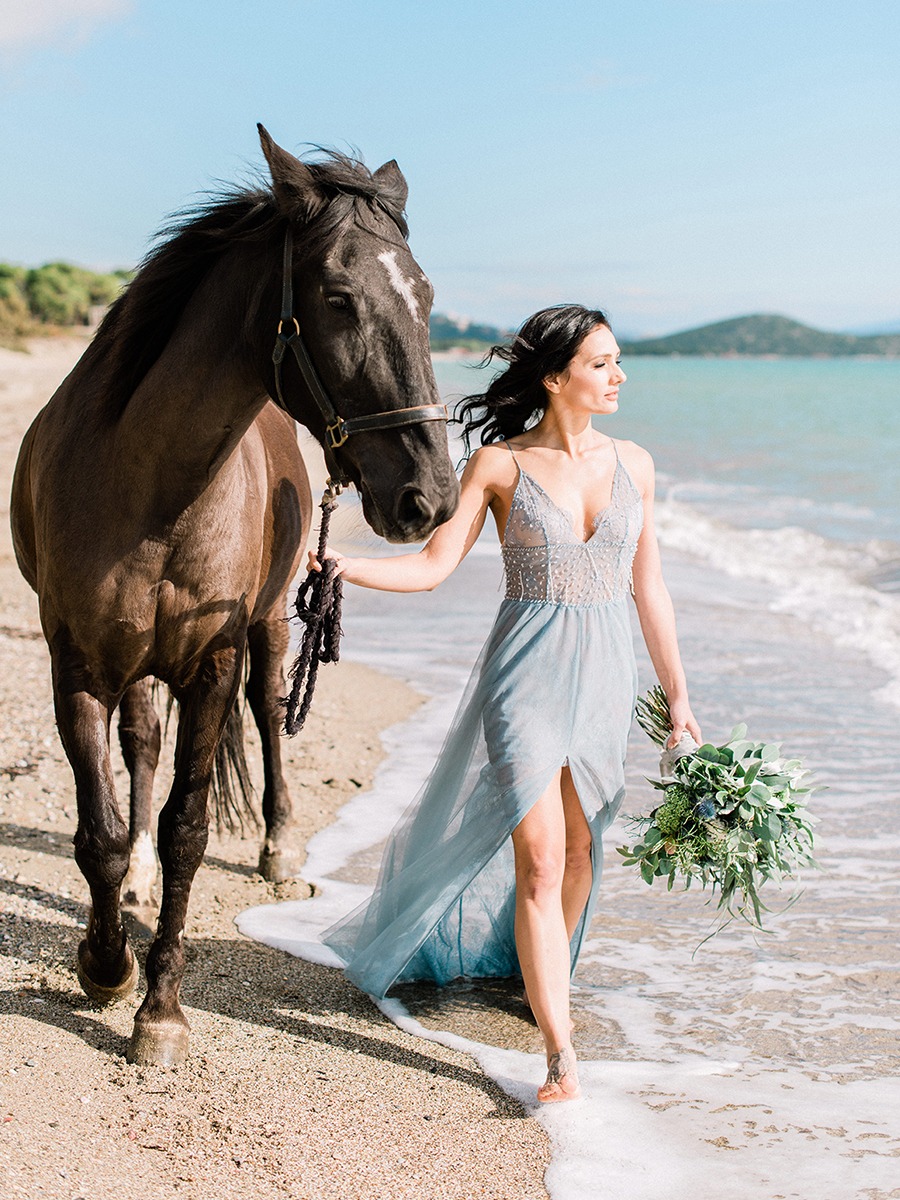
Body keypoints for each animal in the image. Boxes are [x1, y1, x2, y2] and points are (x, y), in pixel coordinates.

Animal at [12, 124, 465, 1060]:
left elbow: (188, 828)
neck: (150, 483)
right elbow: (101, 834)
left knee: (266, 712)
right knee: (143, 743)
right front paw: (106, 963)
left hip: (269, 627)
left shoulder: (213, 662)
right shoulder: (77, 666)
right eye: (338, 297)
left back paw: (280, 850)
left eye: (426, 294)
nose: (430, 498)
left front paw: (161, 1008)